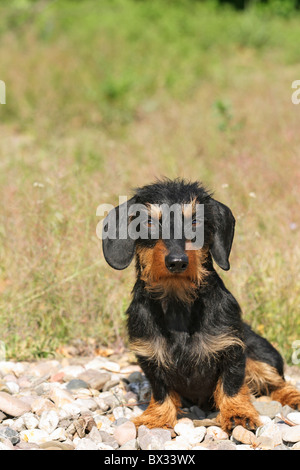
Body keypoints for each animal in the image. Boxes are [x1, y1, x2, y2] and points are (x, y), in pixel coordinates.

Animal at [102, 178, 298, 432]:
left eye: (195, 222)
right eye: (148, 222)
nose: (177, 262)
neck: (178, 301)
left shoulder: (232, 349)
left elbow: (232, 384)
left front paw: (237, 413)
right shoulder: (150, 357)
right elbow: (161, 390)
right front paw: (156, 417)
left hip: (261, 355)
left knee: (278, 384)